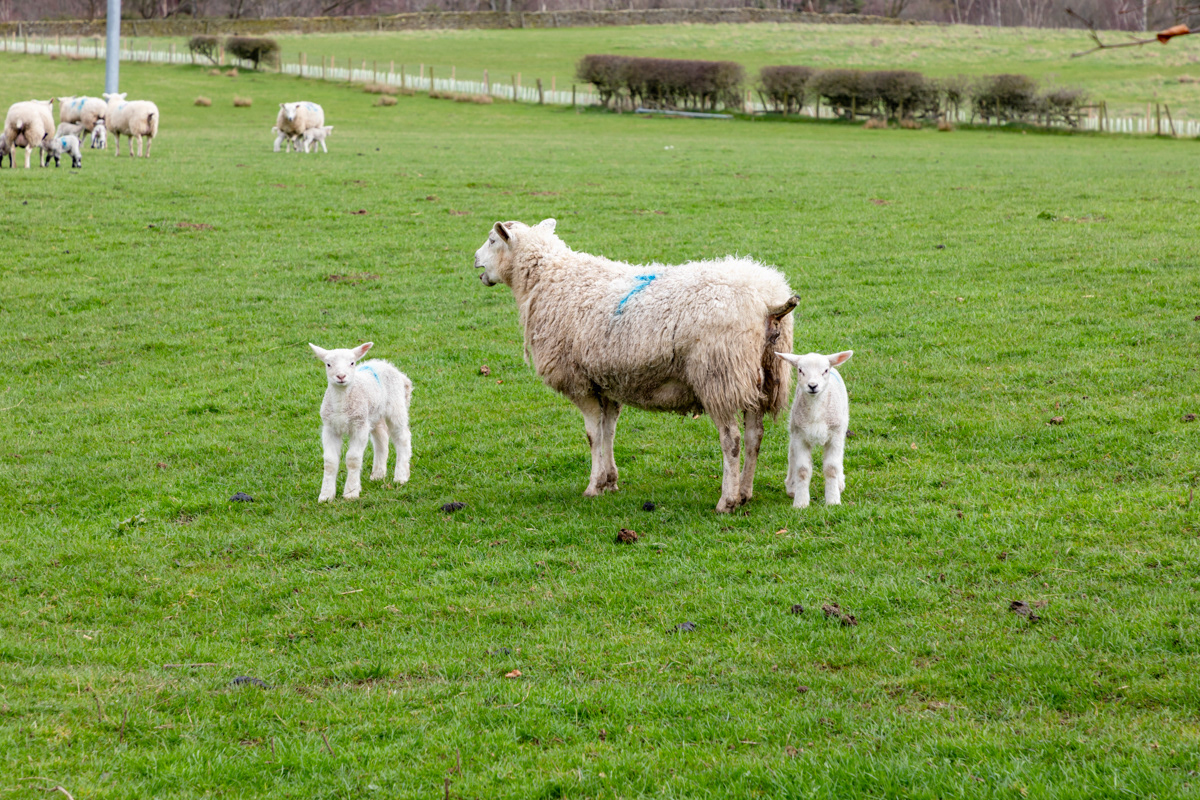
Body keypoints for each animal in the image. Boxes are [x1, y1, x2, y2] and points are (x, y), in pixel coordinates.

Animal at [309, 342, 413, 502]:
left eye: (352, 363)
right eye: (328, 364)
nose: (341, 376)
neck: (341, 405)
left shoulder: (359, 426)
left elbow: (353, 459)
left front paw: (351, 492)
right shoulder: (330, 428)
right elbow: (330, 462)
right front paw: (326, 495)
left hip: (395, 407)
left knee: (403, 438)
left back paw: (401, 476)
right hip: (373, 414)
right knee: (381, 438)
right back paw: (378, 474)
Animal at [473, 218, 799, 513]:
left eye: (492, 240)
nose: (475, 259)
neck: (549, 278)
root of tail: (766, 302)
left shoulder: (580, 382)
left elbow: (592, 435)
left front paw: (593, 486)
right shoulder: (606, 383)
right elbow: (608, 431)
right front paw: (610, 481)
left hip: (719, 375)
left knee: (732, 440)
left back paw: (727, 501)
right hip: (764, 375)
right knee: (755, 437)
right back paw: (744, 493)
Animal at [775, 351, 853, 508]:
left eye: (825, 371)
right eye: (800, 370)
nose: (812, 385)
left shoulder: (834, 435)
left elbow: (831, 468)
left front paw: (833, 500)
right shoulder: (800, 436)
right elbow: (802, 470)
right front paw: (801, 502)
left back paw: (839, 483)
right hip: (794, 427)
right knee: (792, 455)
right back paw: (792, 487)